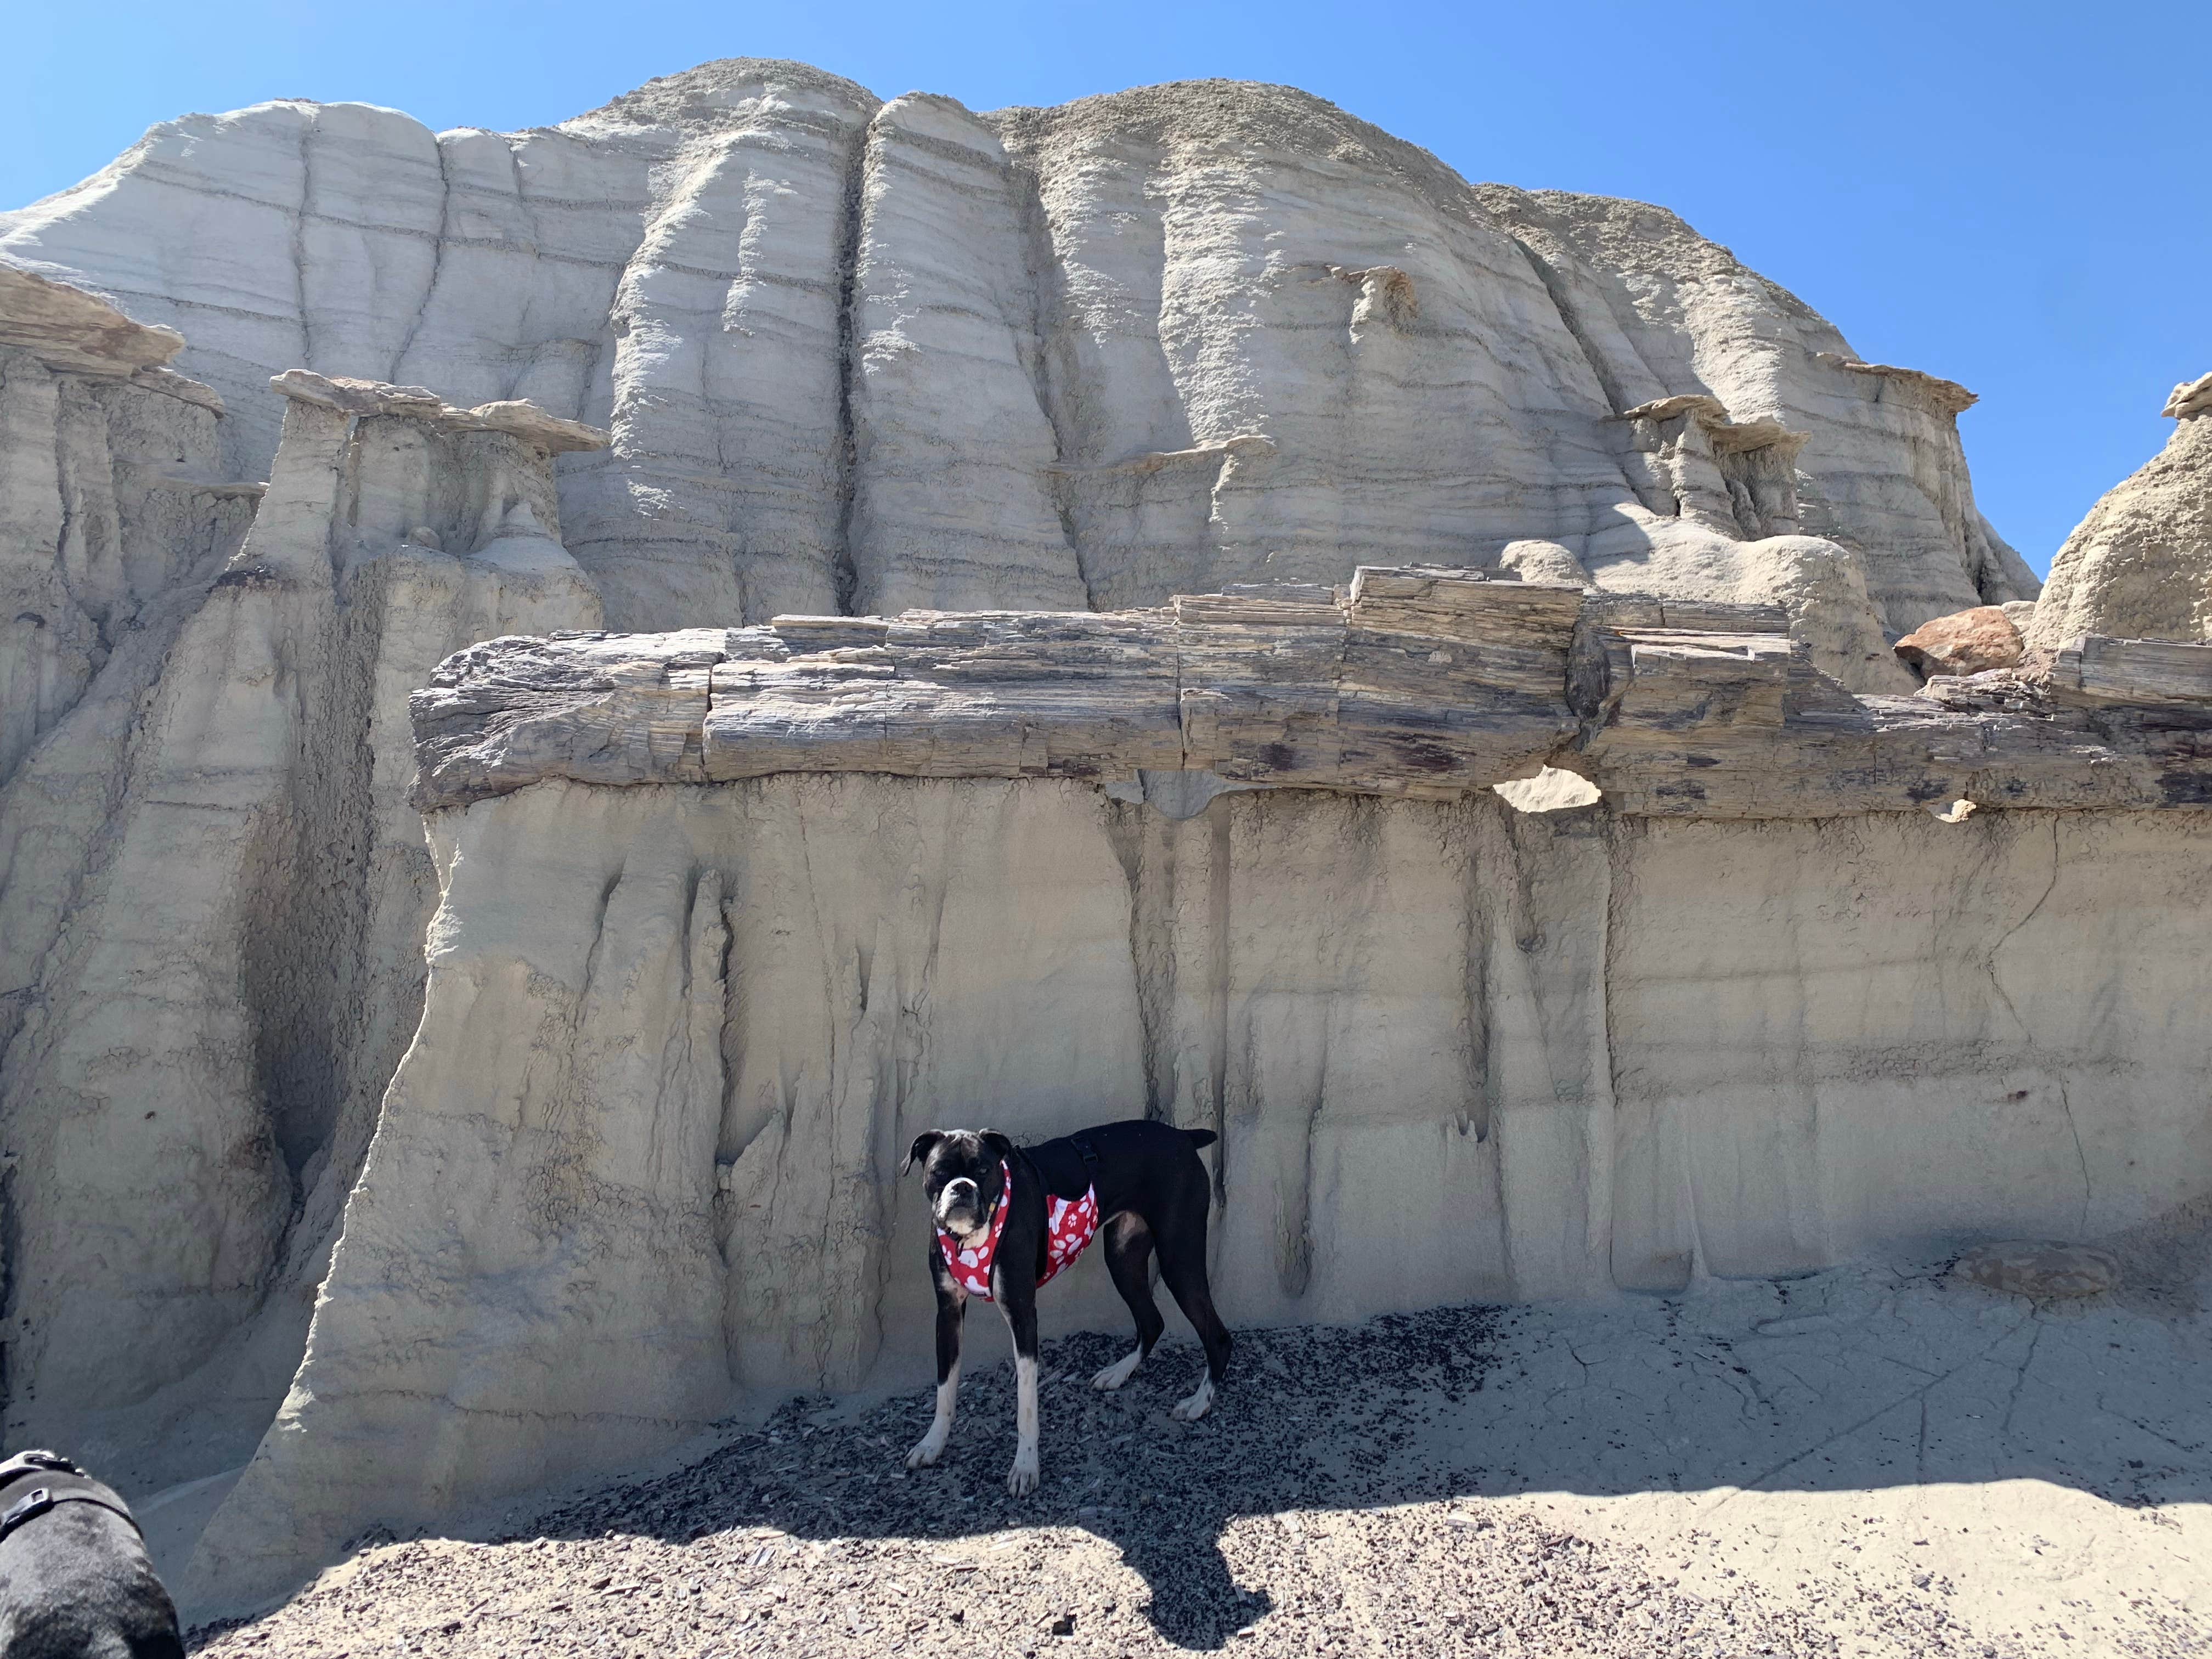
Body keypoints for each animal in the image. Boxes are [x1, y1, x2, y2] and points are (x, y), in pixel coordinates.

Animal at [907, 1124, 1238, 1504]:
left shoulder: (1022, 1316)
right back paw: (1118, 1373)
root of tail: (1183, 1136)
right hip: (1123, 1257)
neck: (971, 1239)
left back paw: (1200, 1402)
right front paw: (933, 1444)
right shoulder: (948, 1313)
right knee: (1152, 1322)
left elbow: (1026, 1405)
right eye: (939, 1172)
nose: (961, 1187)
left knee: (1217, 1337)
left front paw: (1026, 1466)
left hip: (1177, 1258)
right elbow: (945, 1389)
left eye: (984, 1170)